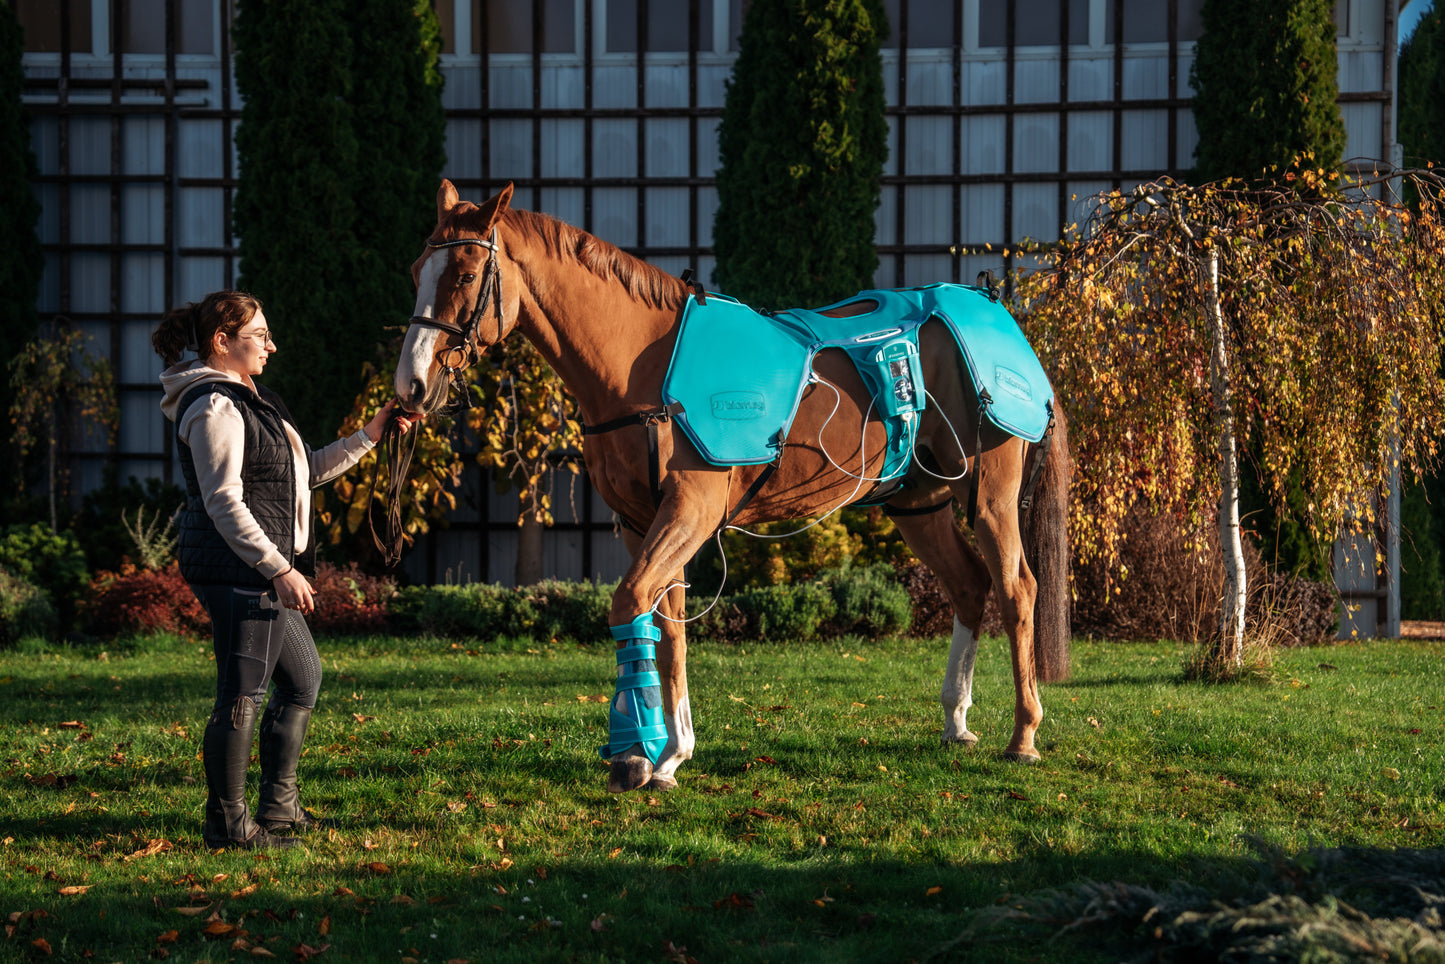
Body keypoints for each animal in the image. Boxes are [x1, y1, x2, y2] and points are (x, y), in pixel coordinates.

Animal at [393, 179, 1072, 794]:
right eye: (416, 271)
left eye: (464, 274)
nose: (412, 385)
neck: (642, 366)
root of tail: (996, 312)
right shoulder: (641, 523)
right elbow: (667, 625)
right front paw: (670, 754)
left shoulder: (688, 513)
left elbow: (630, 602)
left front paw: (635, 752)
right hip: (918, 502)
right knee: (970, 585)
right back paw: (956, 721)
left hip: (990, 493)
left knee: (1017, 589)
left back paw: (1024, 735)